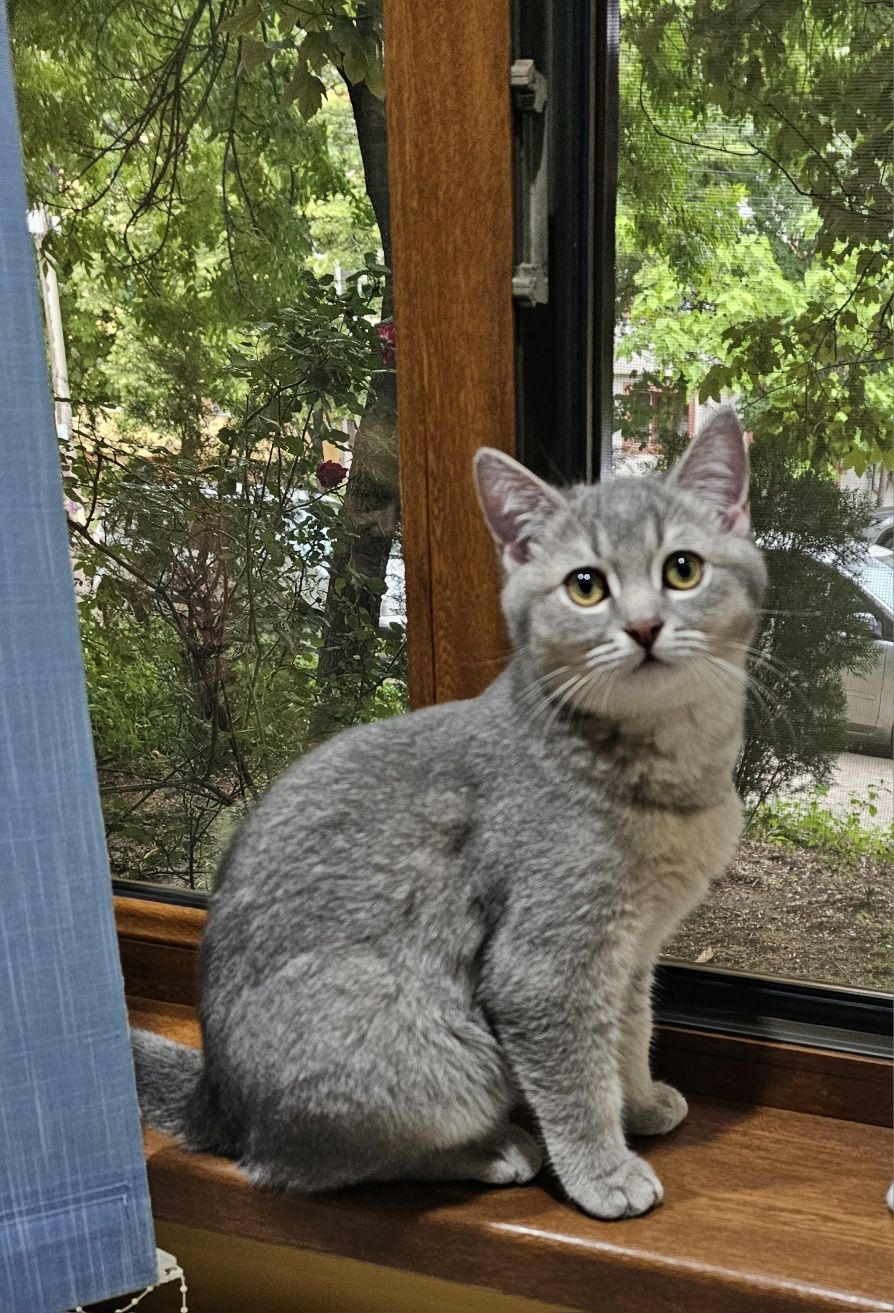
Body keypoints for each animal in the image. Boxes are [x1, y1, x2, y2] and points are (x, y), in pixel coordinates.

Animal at [134, 409, 766, 1218]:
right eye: (586, 586)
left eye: (682, 569)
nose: (646, 626)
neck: (670, 773)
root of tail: (218, 1096)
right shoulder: (546, 968)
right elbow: (576, 1081)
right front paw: (603, 1168)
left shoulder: (631, 953)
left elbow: (629, 1034)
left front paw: (641, 1102)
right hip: (432, 1046)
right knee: (303, 1166)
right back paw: (496, 1150)